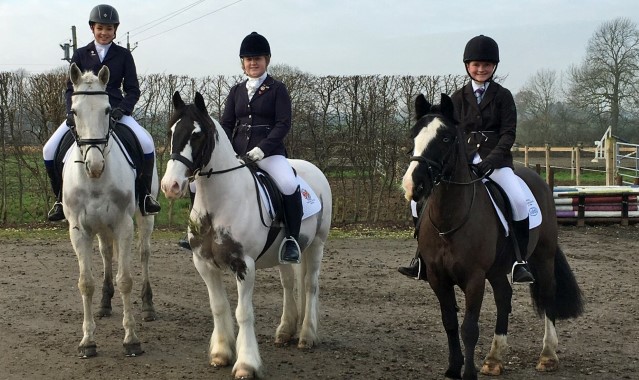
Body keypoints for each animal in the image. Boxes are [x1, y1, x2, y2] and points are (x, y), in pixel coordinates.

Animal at [160, 90, 332, 378]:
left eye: (197, 134)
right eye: (171, 131)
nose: (170, 186)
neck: (218, 203)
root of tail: (312, 169)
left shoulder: (244, 265)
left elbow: (244, 313)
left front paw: (246, 364)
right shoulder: (203, 264)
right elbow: (218, 307)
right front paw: (220, 353)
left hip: (317, 245)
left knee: (310, 285)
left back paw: (307, 336)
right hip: (287, 251)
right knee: (288, 284)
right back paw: (285, 331)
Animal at [404, 93, 584, 380]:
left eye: (446, 138)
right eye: (414, 135)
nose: (414, 185)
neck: (449, 218)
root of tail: (538, 178)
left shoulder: (474, 277)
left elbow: (469, 328)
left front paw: (468, 373)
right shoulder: (437, 276)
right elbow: (450, 322)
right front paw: (454, 368)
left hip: (543, 257)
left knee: (547, 296)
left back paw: (547, 355)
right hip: (499, 269)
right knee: (504, 298)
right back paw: (494, 359)